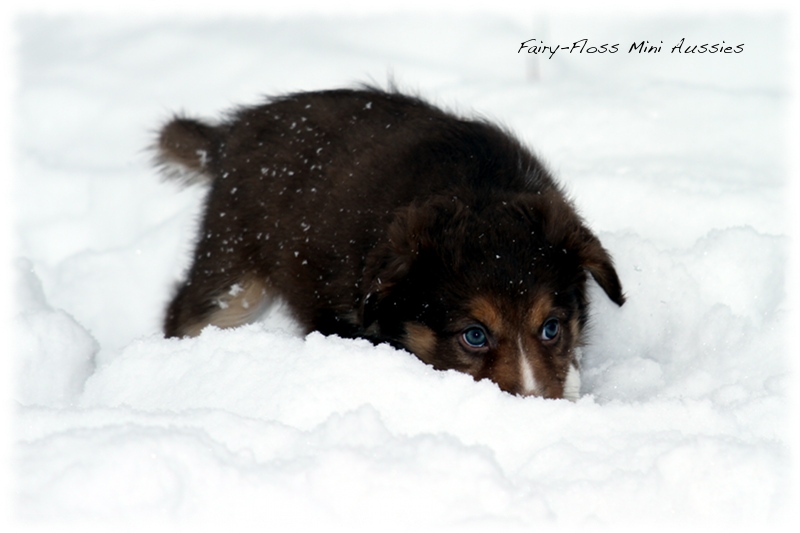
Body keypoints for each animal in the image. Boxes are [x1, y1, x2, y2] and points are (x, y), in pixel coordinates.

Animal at [153, 86, 620, 400]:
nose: (534, 406)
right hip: (232, 268)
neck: (476, 190)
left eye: (551, 328)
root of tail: (229, 136)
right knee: (187, 312)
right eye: (474, 335)